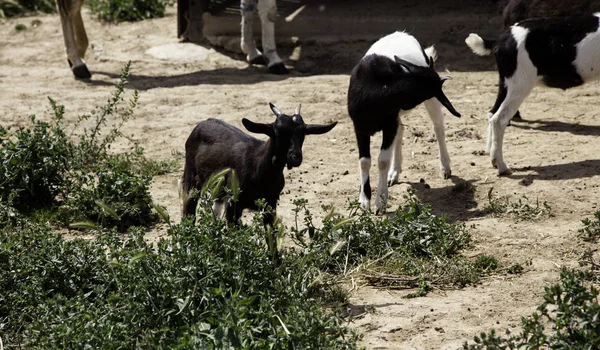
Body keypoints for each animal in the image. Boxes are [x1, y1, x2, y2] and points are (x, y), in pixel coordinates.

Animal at [178, 102, 338, 226]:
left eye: (303, 134)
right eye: (277, 132)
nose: (295, 157)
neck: (258, 167)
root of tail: (203, 123)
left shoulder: (270, 204)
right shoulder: (234, 203)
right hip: (191, 179)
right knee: (188, 212)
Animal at [344, 32, 462, 213]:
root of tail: (402, 34)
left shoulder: (389, 123)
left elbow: (382, 161)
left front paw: (380, 202)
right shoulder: (360, 127)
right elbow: (364, 161)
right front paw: (364, 200)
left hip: (430, 104)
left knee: (438, 126)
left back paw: (445, 168)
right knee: (400, 131)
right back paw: (394, 173)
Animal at [466, 14, 600, 175]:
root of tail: (500, 41)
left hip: (506, 82)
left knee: (492, 113)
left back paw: (493, 159)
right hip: (520, 83)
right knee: (499, 119)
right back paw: (503, 167)